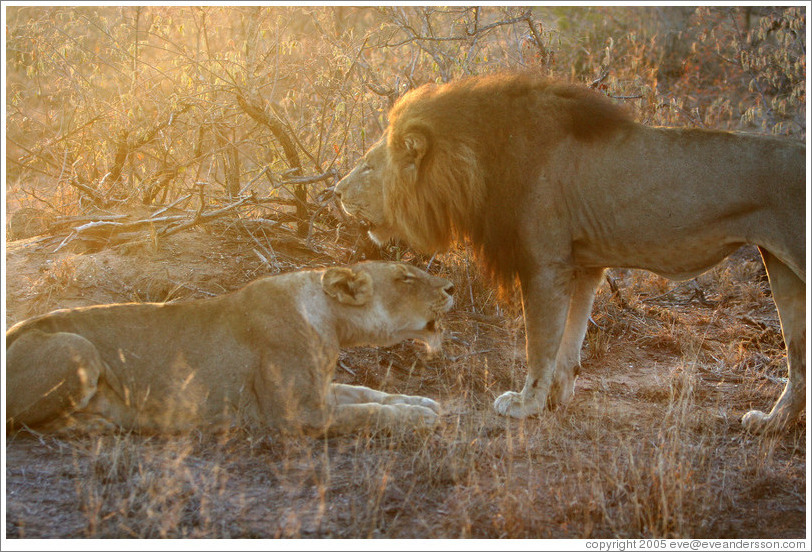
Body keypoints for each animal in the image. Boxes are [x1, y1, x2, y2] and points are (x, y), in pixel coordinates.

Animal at [6, 261, 455, 436]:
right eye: (406, 278)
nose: (452, 287)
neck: (332, 320)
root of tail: (13, 330)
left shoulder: (321, 390)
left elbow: (368, 392)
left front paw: (423, 403)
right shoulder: (296, 414)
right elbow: (369, 412)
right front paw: (417, 417)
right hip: (77, 347)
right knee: (22, 423)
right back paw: (94, 425)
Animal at [335, 73, 806, 434]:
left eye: (369, 167)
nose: (335, 192)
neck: (477, 159)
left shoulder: (545, 264)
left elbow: (539, 344)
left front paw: (525, 404)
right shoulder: (583, 265)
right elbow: (569, 345)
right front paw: (556, 398)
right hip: (782, 270)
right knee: (799, 359)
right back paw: (772, 424)